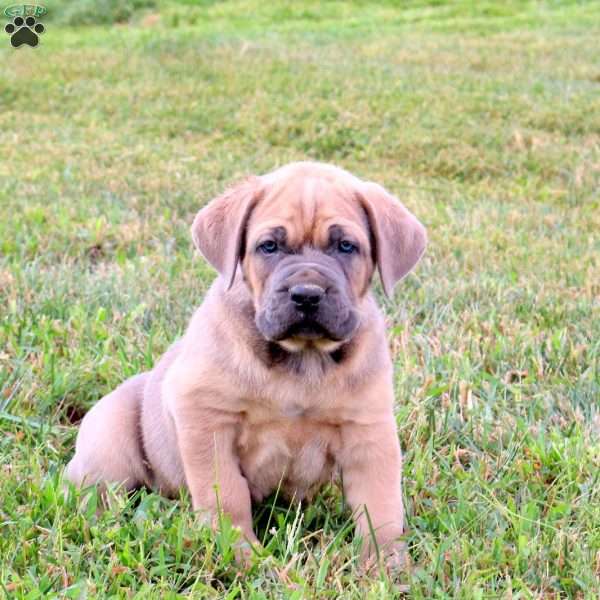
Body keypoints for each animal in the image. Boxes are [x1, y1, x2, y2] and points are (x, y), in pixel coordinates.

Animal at [67, 162, 426, 568]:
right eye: (269, 246)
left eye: (346, 246)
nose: (307, 294)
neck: (302, 358)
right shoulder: (206, 419)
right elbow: (226, 496)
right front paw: (241, 554)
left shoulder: (369, 430)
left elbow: (381, 505)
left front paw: (387, 563)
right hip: (109, 444)